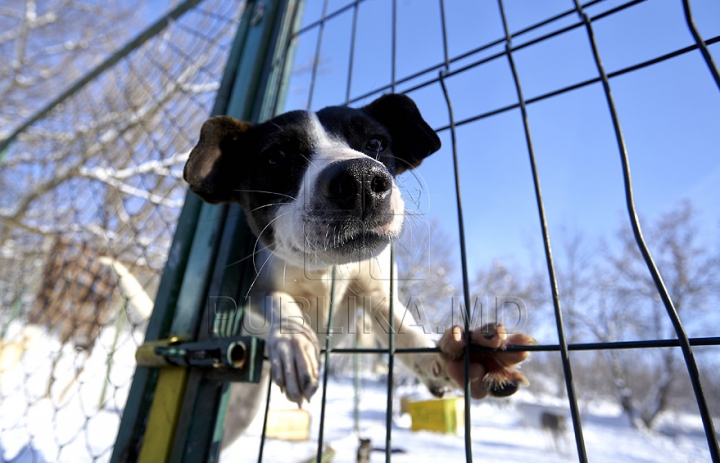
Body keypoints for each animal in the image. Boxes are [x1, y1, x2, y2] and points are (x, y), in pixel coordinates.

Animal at [186, 93, 536, 442]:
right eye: (277, 156)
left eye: (376, 142)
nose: (361, 178)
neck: (326, 269)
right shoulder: (252, 292)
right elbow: (279, 301)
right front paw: (295, 346)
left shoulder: (377, 294)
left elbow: (404, 330)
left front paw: (453, 358)